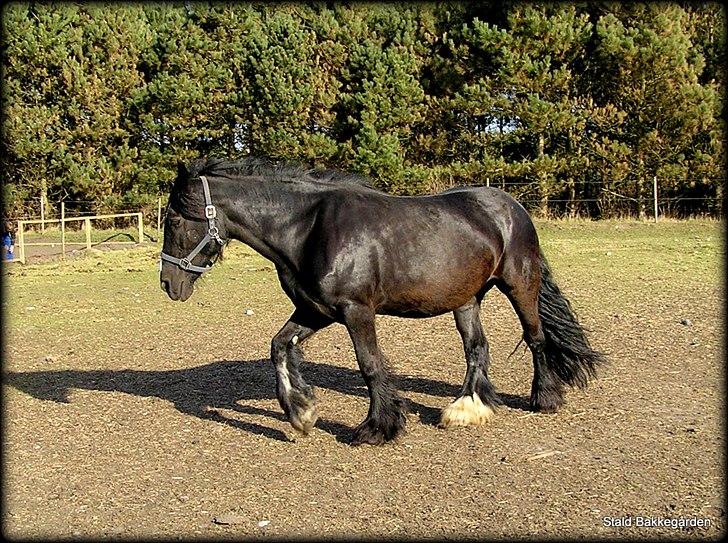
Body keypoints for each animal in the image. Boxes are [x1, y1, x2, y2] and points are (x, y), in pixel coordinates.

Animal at [162, 158, 604, 446]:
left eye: (176, 219)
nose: (168, 283)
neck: (308, 228)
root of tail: (512, 207)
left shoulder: (356, 311)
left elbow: (370, 366)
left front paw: (377, 428)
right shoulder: (315, 310)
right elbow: (279, 346)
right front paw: (302, 413)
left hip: (519, 285)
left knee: (536, 338)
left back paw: (544, 398)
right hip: (466, 299)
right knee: (477, 348)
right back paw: (466, 408)